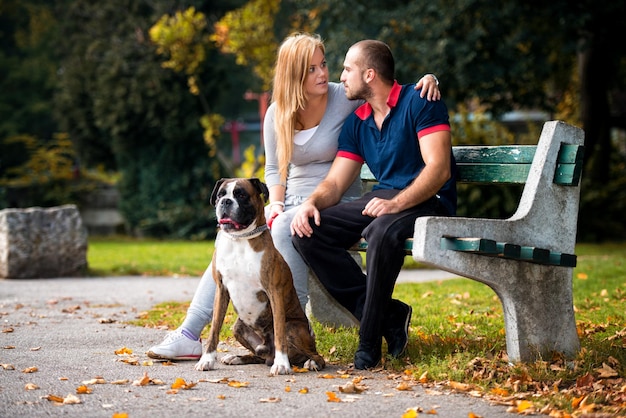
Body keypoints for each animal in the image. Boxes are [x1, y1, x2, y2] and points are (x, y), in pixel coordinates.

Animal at [194, 177, 322, 376]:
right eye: (220, 195)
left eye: (241, 195)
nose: (225, 202)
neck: (240, 240)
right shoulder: (221, 290)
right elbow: (214, 328)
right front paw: (206, 360)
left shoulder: (274, 291)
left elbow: (279, 333)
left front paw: (282, 365)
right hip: (238, 327)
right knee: (259, 356)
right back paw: (238, 357)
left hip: (293, 327)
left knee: (315, 355)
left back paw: (310, 362)